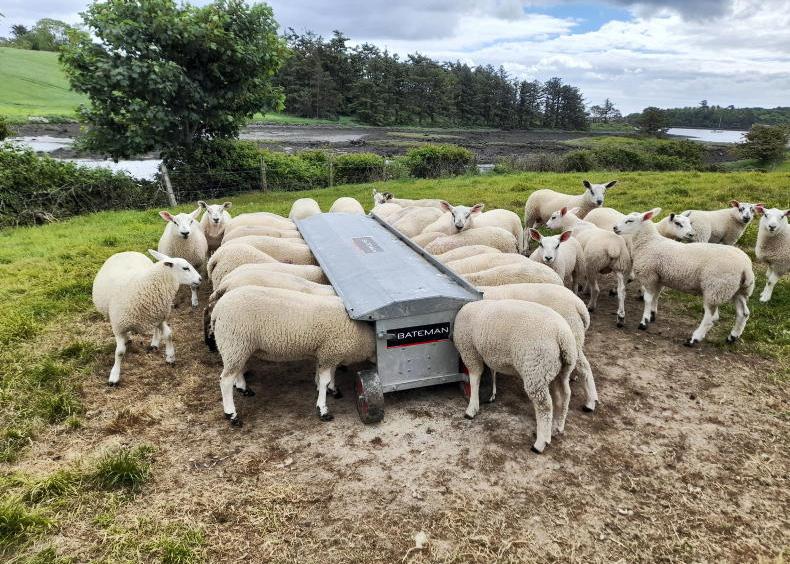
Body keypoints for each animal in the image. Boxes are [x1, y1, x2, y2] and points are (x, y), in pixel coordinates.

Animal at [92, 250, 201, 385]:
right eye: (185, 268)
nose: (200, 279)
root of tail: (128, 251)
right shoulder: (119, 326)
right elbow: (120, 352)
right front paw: (114, 375)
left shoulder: (159, 316)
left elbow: (168, 334)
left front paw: (170, 357)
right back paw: (128, 339)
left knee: (155, 329)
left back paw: (154, 343)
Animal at [209, 286, 375, 425]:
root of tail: (218, 308)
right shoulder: (329, 351)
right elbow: (325, 381)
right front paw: (323, 409)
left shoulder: (327, 352)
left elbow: (327, 374)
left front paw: (331, 388)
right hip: (235, 342)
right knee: (225, 381)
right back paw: (232, 415)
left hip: (238, 348)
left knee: (237, 369)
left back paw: (243, 388)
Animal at [454, 299, 577, 453]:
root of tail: (562, 335)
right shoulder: (490, 354)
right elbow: (492, 372)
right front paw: (492, 394)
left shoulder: (470, 350)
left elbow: (474, 378)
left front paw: (472, 408)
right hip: (560, 370)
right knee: (564, 396)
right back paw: (556, 427)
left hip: (536, 370)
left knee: (545, 406)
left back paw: (540, 443)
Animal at [481, 283, 597, 412]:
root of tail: (579, 304)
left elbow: (491, 370)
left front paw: (491, 393)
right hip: (572, 342)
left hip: (571, 335)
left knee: (584, 367)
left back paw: (590, 402)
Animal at [613, 208, 754, 345]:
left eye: (629, 221)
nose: (614, 228)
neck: (648, 242)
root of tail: (746, 267)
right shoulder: (658, 277)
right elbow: (656, 297)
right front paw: (652, 315)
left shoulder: (648, 275)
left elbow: (648, 299)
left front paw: (644, 321)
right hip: (737, 290)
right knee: (743, 313)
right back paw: (732, 337)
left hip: (715, 289)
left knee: (711, 318)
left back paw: (694, 339)